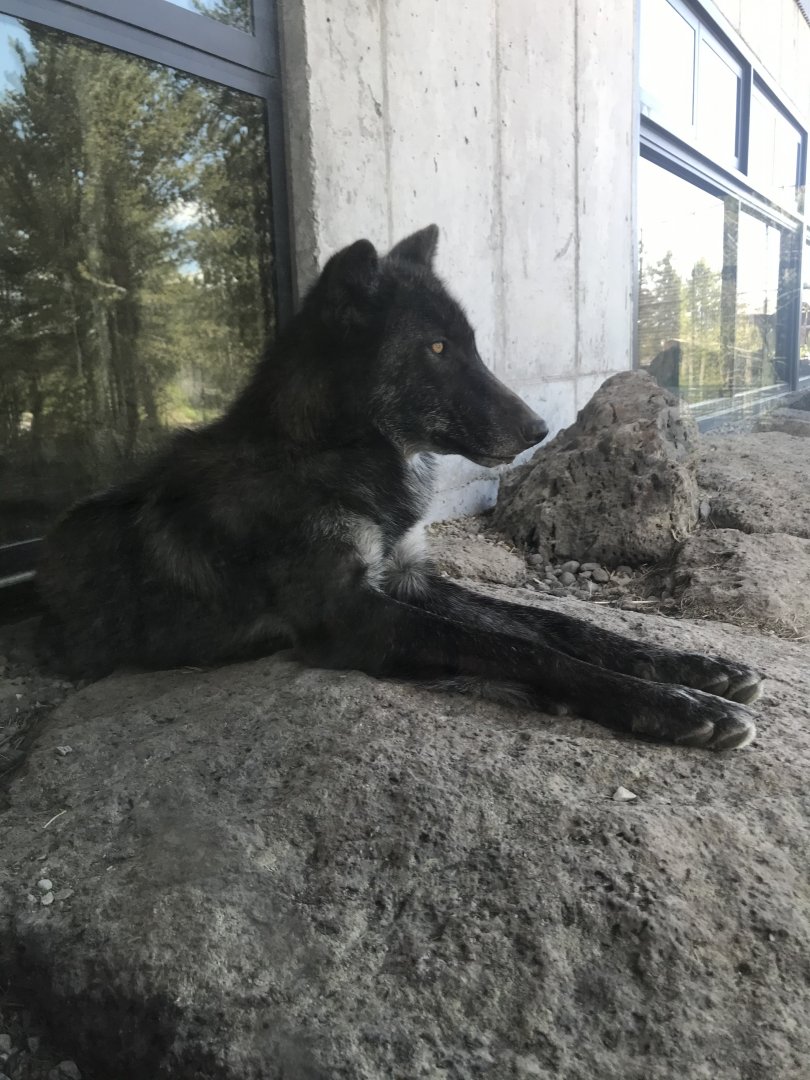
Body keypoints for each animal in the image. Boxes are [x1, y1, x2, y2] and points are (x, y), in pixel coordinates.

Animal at [37, 225, 762, 749]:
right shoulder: (353, 616)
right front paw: (672, 707)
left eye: (470, 344)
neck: (329, 456)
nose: (539, 428)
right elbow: (517, 647)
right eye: (437, 348)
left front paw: (696, 670)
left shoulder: (409, 577)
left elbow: (551, 624)